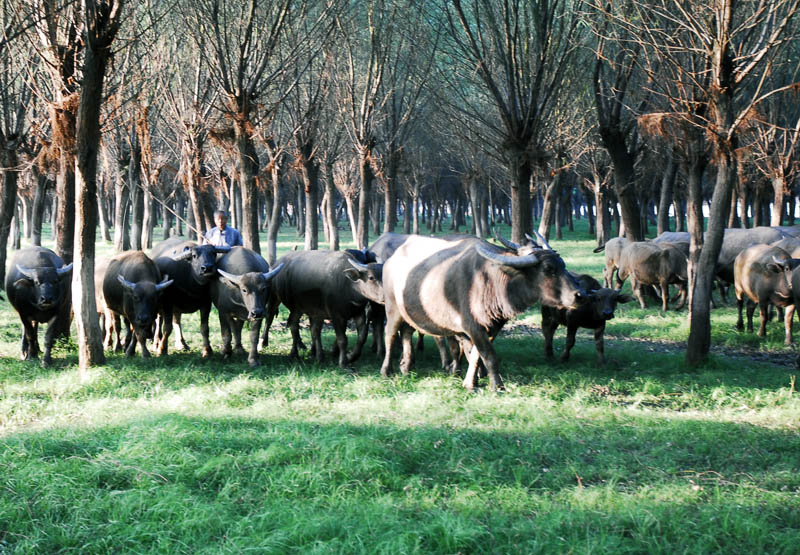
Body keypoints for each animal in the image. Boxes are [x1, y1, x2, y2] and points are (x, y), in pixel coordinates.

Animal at [378, 235, 584, 390]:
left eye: (563, 264)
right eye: (548, 269)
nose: (580, 295)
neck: (490, 280)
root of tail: (390, 261)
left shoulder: (491, 327)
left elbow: (476, 355)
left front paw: (471, 382)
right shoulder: (473, 327)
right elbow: (489, 356)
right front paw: (497, 386)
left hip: (409, 314)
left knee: (406, 332)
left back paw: (405, 367)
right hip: (393, 309)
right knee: (390, 335)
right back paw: (386, 370)